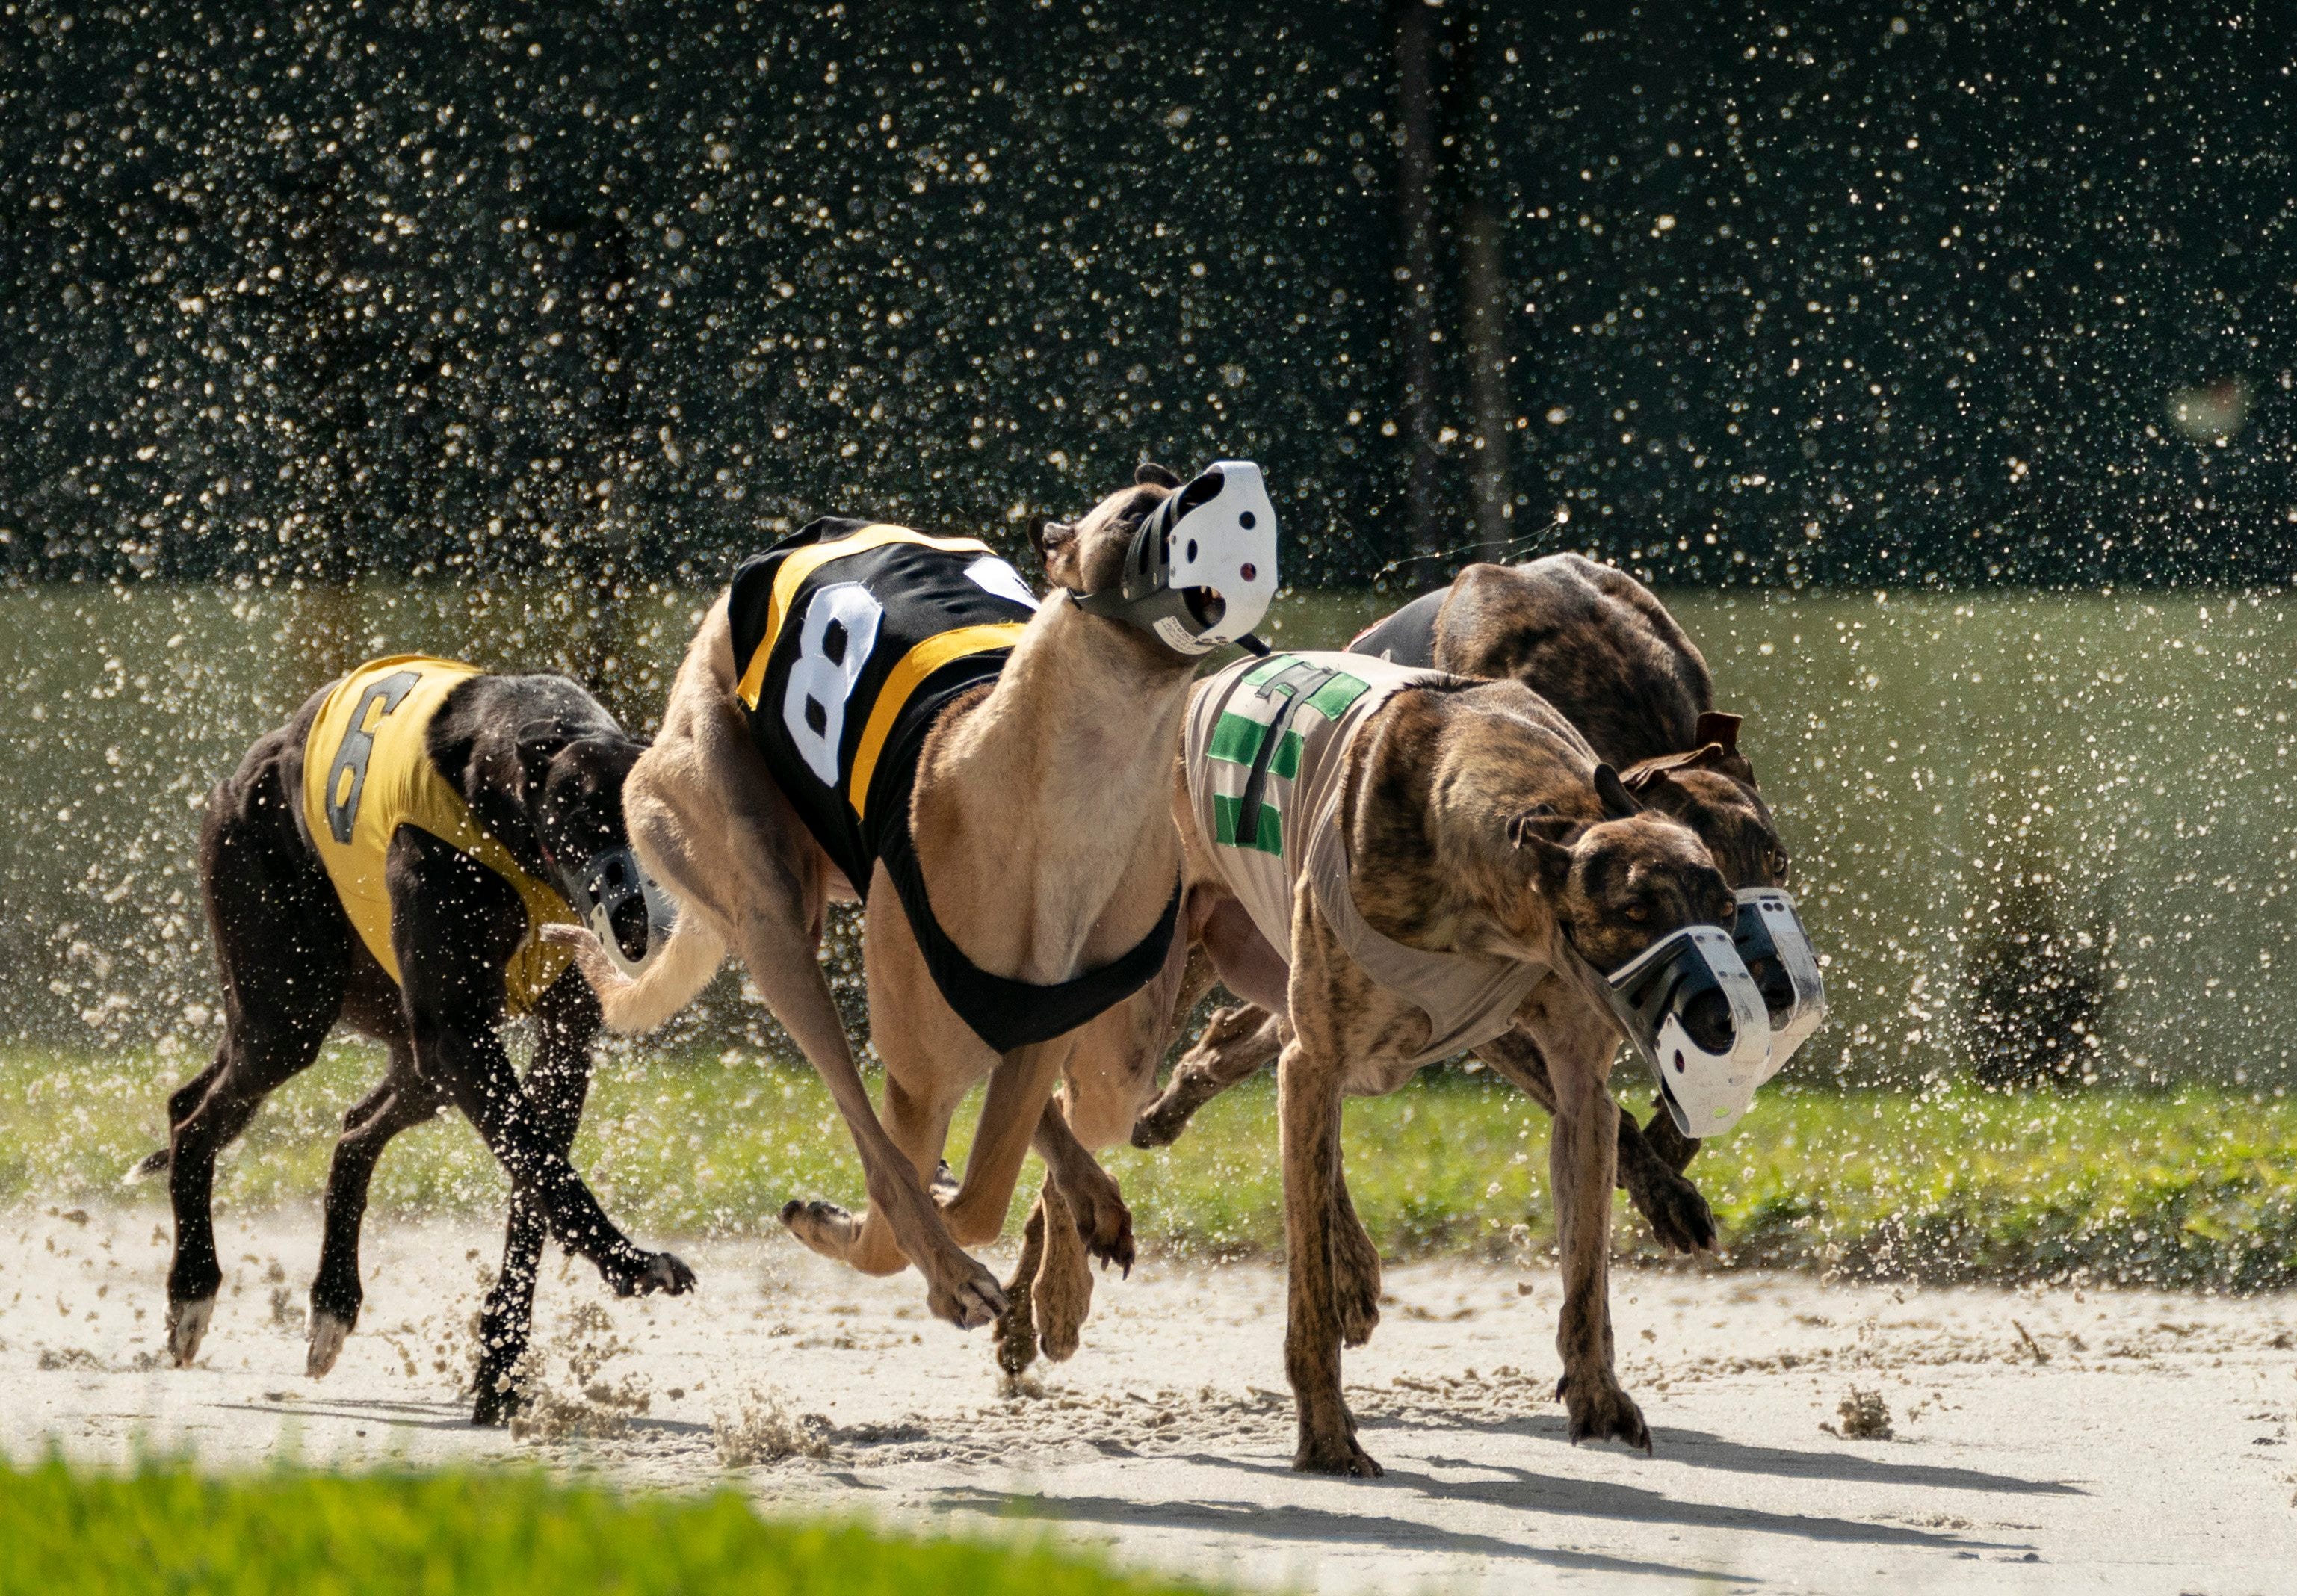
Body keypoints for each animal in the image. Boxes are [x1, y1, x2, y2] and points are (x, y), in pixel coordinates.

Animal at [136, 661, 679, 1423]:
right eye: (578, 815)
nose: (632, 919)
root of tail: (255, 759)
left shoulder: (558, 1044)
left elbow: (535, 1183)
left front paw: (501, 1364)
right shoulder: (459, 1038)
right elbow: (546, 1169)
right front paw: (625, 1261)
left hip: (408, 1055)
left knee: (348, 1131)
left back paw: (333, 1301)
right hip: (290, 1011)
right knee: (197, 1121)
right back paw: (192, 1289)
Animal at [553, 466, 1277, 1331]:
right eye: (1134, 512)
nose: (1220, 487)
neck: (1074, 803)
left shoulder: (1053, 1020)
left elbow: (990, 1181)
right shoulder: (919, 1081)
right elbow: (902, 1188)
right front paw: (926, 1260)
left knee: (1068, 1104)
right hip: (760, 892)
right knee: (857, 1104)